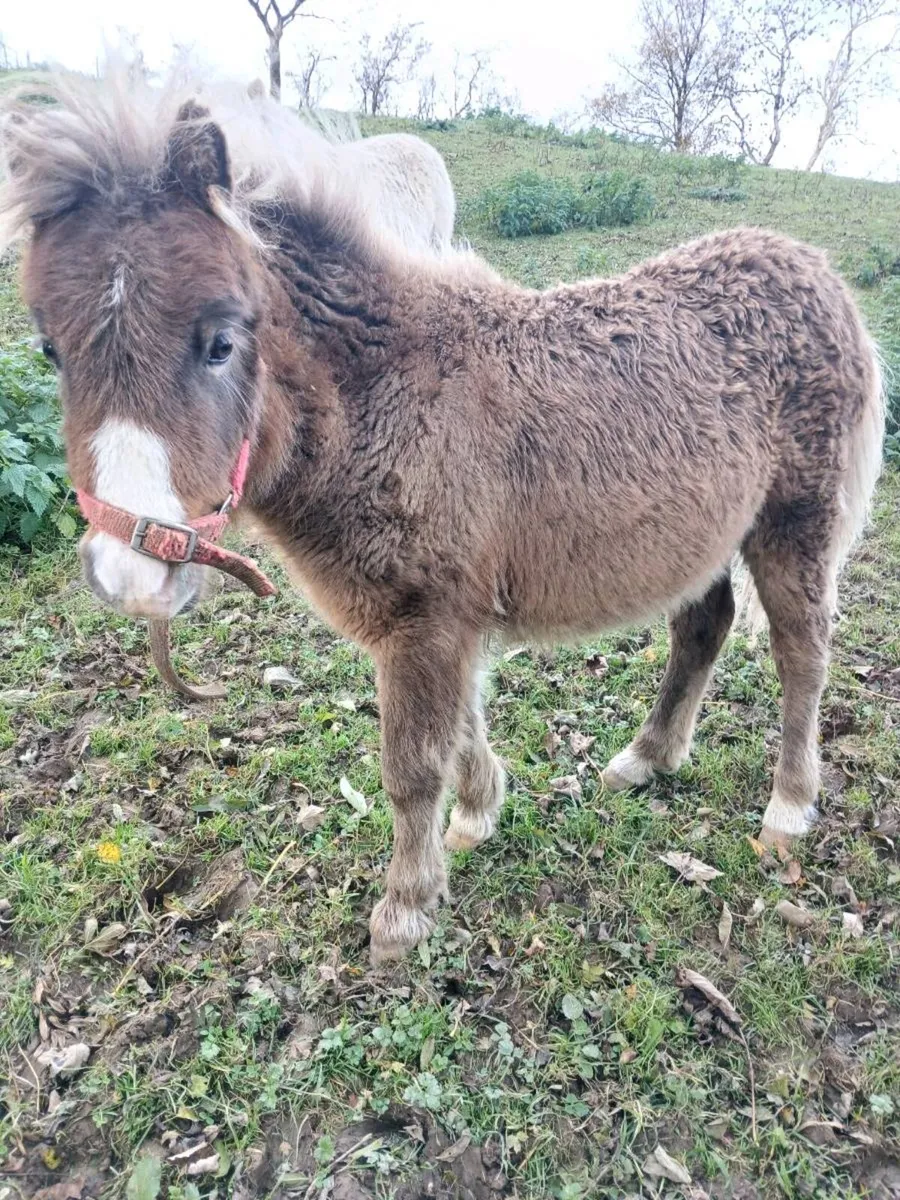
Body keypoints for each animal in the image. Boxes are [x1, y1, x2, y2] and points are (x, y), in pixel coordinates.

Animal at [1, 67, 884, 964]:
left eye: (220, 342)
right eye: (50, 350)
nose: (130, 574)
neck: (385, 395)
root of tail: (817, 274)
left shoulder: (425, 623)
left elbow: (412, 766)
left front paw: (405, 909)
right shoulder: (445, 621)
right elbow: (464, 726)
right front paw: (478, 814)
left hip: (794, 526)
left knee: (802, 653)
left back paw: (787, 810)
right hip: (700, 535)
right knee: (703, 624)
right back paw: (646, 759)